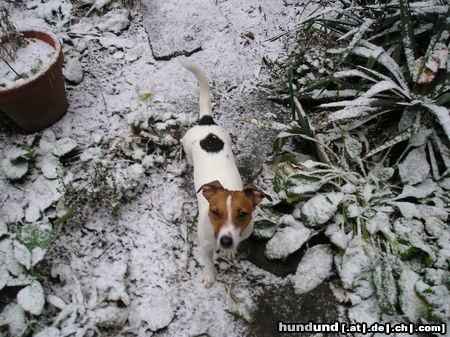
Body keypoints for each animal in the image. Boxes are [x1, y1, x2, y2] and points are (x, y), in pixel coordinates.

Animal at [180, 62, 270, 286]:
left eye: (243, 214)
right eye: (215, 212)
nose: (226, 241)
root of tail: (206, 122)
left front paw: (231, 252)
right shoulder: (204, 246)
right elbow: (208, 261)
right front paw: (209, 276)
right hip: (187, 146)